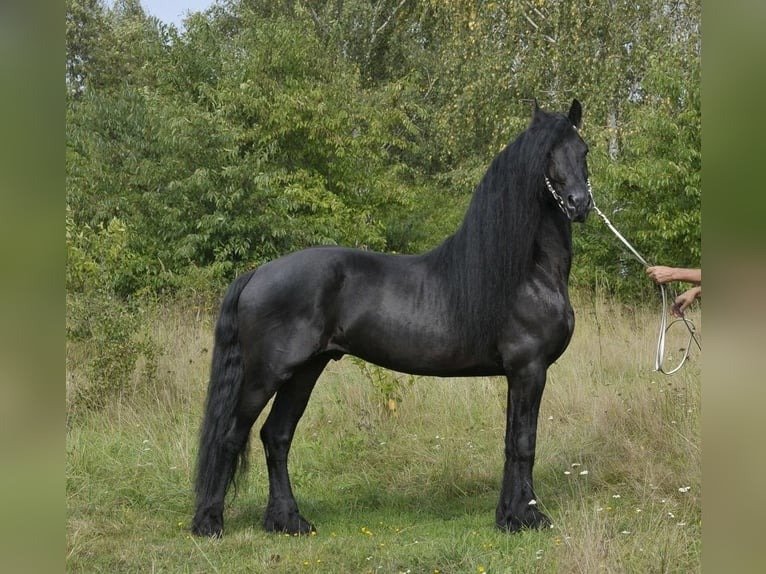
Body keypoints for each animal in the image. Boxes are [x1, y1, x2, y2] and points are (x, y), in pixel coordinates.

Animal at [192, 100, 592, 537]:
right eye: (547, 155)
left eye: (583, 150)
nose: (579, 204)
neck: (526, 273)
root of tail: (256, 273)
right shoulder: (528, 368)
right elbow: (523, 443)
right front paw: (528, 517)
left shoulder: (518, 374)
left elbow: (511, 440)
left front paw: (508, 515)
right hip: (266, 373)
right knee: (232, 435)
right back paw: (210, 523)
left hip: (305, 370)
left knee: (276, 436)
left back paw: (288, 520)